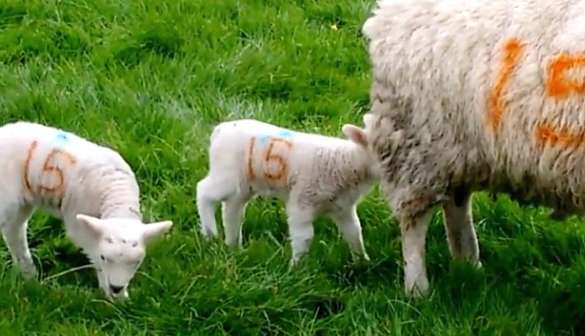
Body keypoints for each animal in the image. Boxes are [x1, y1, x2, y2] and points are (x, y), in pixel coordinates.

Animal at [0, 121, 172, 300]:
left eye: (136, 262)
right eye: (104, 257)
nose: (116, 287)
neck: (117, 197)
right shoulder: (79, 223)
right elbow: (94, 254)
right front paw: (111, 295)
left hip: (21, 204)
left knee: (14, 230)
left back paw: (29, 275)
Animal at [196, 119, 376, 266]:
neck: (346, 161)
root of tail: (221, 129)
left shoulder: (343, 208)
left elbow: (354, 231)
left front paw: (362, 262)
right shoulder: (302, 202)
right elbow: (304, 236)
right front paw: (297, 269)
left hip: (244, 184)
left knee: (232, 209)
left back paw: (234, 246)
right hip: (226, 175)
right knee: (203, 191)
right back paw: (210, 234)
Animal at [360, 0, 584, 296]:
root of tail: (385, 14)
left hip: (459, 148)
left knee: (456, 203)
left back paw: (469, 265)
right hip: (416, 144)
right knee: (413, 220)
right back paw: (418, 289)